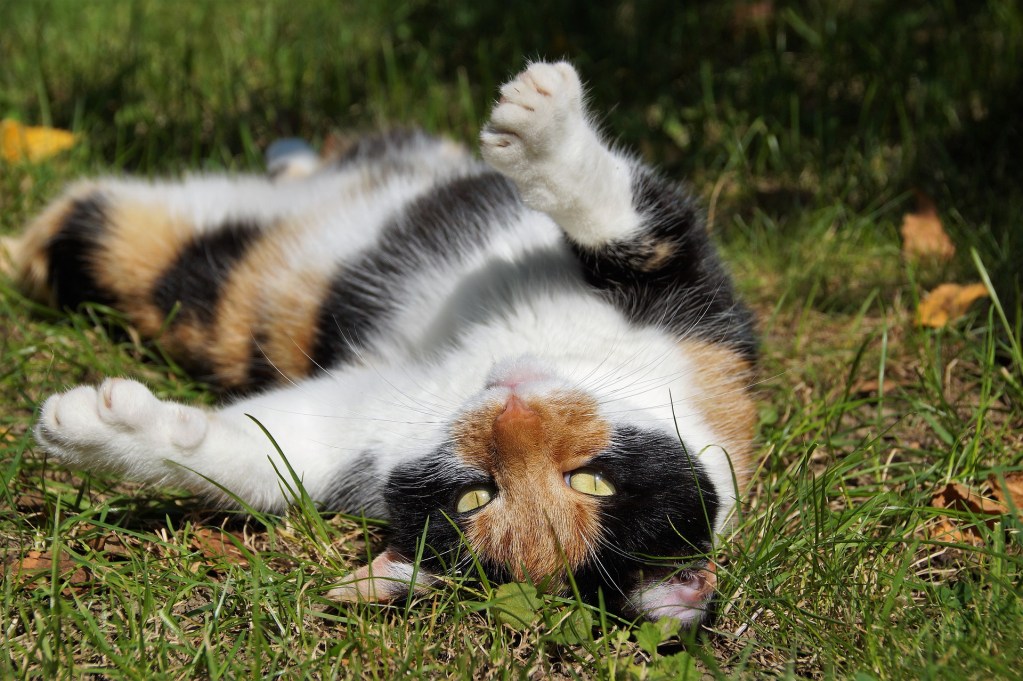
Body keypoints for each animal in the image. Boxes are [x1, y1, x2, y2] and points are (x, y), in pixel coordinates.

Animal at [6, 61, 761, 621]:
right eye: (477, 494)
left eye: (586, 483)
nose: (509, 411)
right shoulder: (698, 300)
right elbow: (629, 224)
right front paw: (541, 127)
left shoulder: (353, 432)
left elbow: (254, 461)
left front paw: (86, 430)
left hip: (196, 279)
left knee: (97, 217)